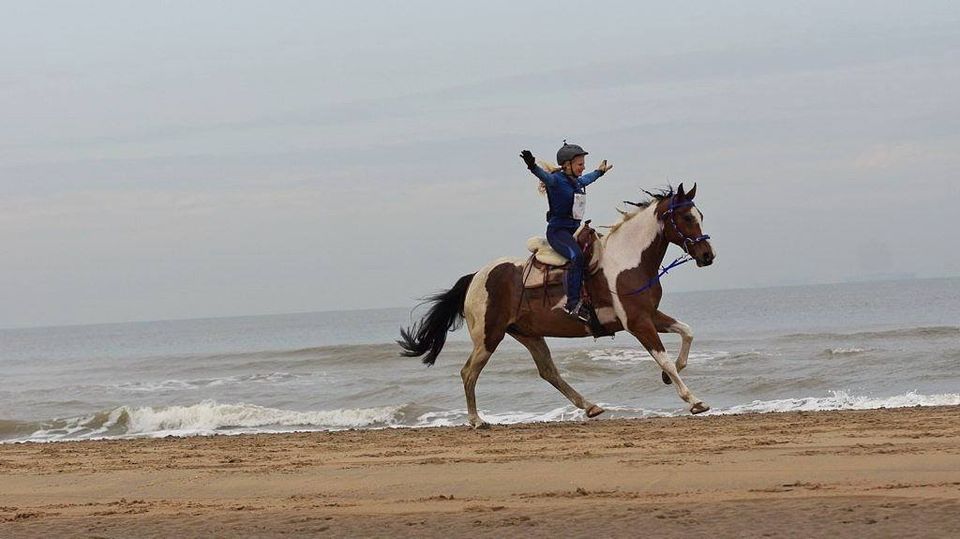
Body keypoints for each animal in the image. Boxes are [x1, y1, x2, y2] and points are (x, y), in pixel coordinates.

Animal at [396, 184, 712, 428]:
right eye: (686, 217)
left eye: (700, 215)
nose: (708, 255)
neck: (627, 261)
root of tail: (476, 277)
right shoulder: (637, 322)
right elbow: (663, 357)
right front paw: (694, 401)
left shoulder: (649, 315)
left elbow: (687, 332)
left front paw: (671, 376)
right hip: (488, 337)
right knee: (468, 372)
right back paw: (476, 420)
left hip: (528, 335)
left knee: (548, 372)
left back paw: (590, 406)